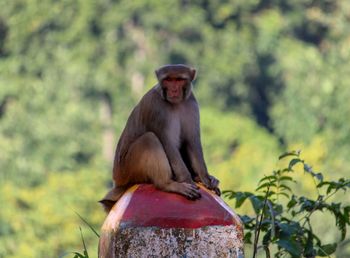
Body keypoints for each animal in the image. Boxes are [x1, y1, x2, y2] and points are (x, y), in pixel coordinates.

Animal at [100, 64, 220, 212]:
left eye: (179, 80)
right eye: (168, 80)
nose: (174, 90)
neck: (176, 104)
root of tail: (117, 181)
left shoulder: (191, 103)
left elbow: (192, 141)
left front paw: (205, 178)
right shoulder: (157, 108)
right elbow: (168, 144)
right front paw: (186, 180)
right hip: (127, 169)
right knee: (149, 139)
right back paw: (166, 183)